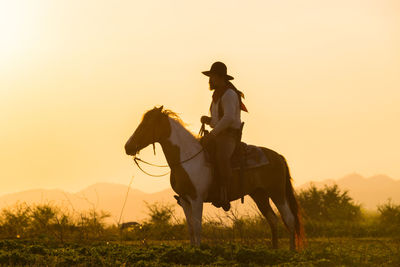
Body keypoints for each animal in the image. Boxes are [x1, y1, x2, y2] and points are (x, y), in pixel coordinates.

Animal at [123, 105, 304, 250]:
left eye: (147, 124)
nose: (128, 147)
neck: (187, 158)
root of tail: (277, 156)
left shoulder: (196, 199)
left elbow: (197, 227)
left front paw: (199, 251)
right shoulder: (184, 200)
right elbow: (190, 228)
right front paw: (192, 250)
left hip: (277, 192)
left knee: (289, 219)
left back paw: (291, 251)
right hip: (259, 194)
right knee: (273, 219)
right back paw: (274, 251)